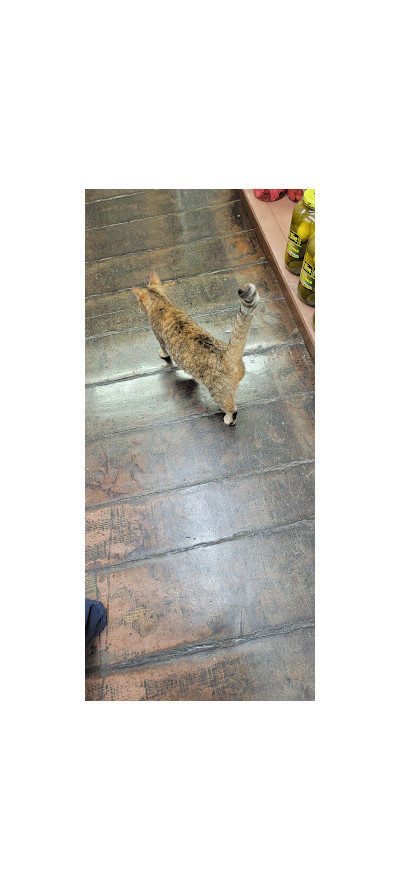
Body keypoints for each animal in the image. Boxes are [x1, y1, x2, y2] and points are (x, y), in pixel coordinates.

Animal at [133, 270, 260, 424]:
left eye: (138, 302)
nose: (138, 309)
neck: (162, 303)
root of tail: (227, 356)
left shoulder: (160, 339)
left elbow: (163, 349)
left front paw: (162, 354)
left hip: (219, 393)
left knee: (232, 410)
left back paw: (228, 419)